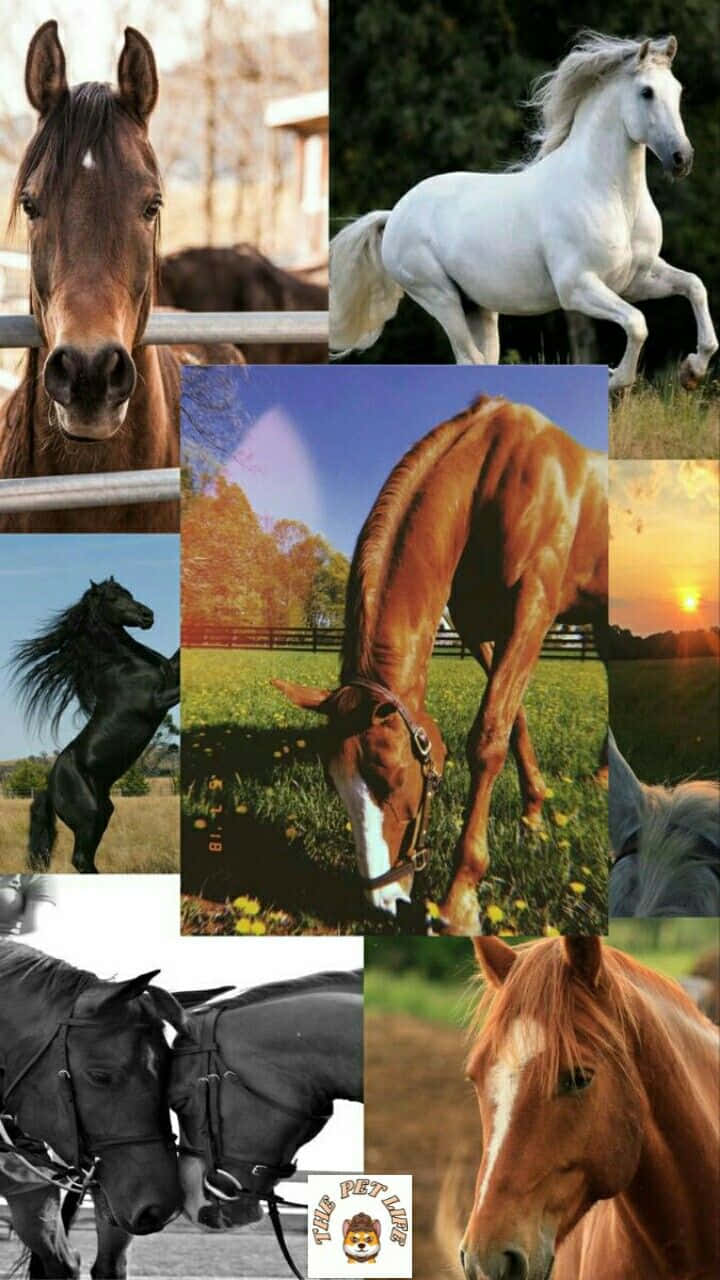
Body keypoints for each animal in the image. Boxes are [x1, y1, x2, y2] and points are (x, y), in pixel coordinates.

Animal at [9, 576, 179, 874]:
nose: (148, 615)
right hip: (89, 816)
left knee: (86, 859)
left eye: (129, 593)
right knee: (80, 859)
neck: (123, 664)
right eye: (112, 598)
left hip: (103, 814)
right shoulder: (159, 700)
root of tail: (50, 788)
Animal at [274, 395, 607, 935]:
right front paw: (534, 818)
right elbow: (514, 720)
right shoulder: (477, 624)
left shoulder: (532, 610)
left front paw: (459, 902)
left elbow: (488, 737)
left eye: (392, 777)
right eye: (334, 782)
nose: (384, 901)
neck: (491, 479)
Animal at [330, 32, 717, 390]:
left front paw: (693, 371)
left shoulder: (635, 279)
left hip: (478, 308)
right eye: (646, 92)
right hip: (438, 296)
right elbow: (637, 324)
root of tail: (394, 214)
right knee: (469, 358)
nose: (682, 159)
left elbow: (694, 286)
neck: (612, 197)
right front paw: (615, 381)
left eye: (678, 90)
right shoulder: (577, 287)